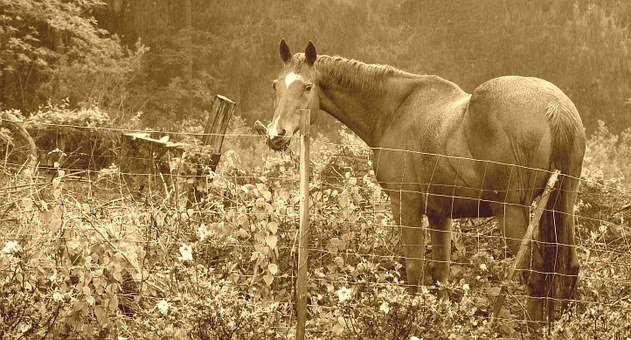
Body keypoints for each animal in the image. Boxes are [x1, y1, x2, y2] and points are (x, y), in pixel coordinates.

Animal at [258, 39, 588, 322]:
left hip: (512, 211)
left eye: (307, 86)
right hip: (561, 203)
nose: (276, 134)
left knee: (536, 274)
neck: (395, 110)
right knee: (568, 269)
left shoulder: (406, 206)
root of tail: (555, 109)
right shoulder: (440, 214)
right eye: (275, 85)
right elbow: (441, 274)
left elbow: (414, 269)